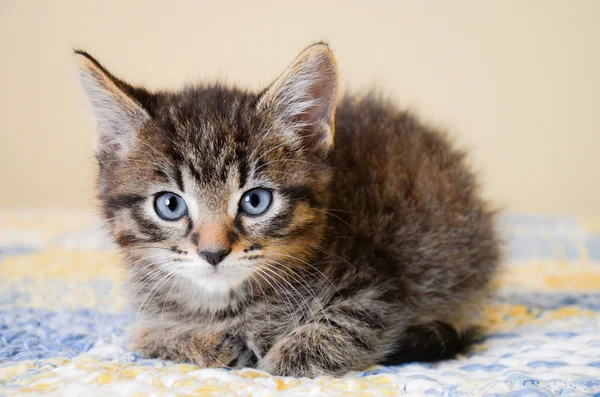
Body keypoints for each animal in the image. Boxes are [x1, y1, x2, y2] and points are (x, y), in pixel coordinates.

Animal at [76, 41, 496, 376]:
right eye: (169, 204)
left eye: (255, 201)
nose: (213, 253)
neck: (225, 305)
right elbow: (144, 338)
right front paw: (205, 343)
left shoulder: (377, 289)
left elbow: (345, 326)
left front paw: (281, 358)